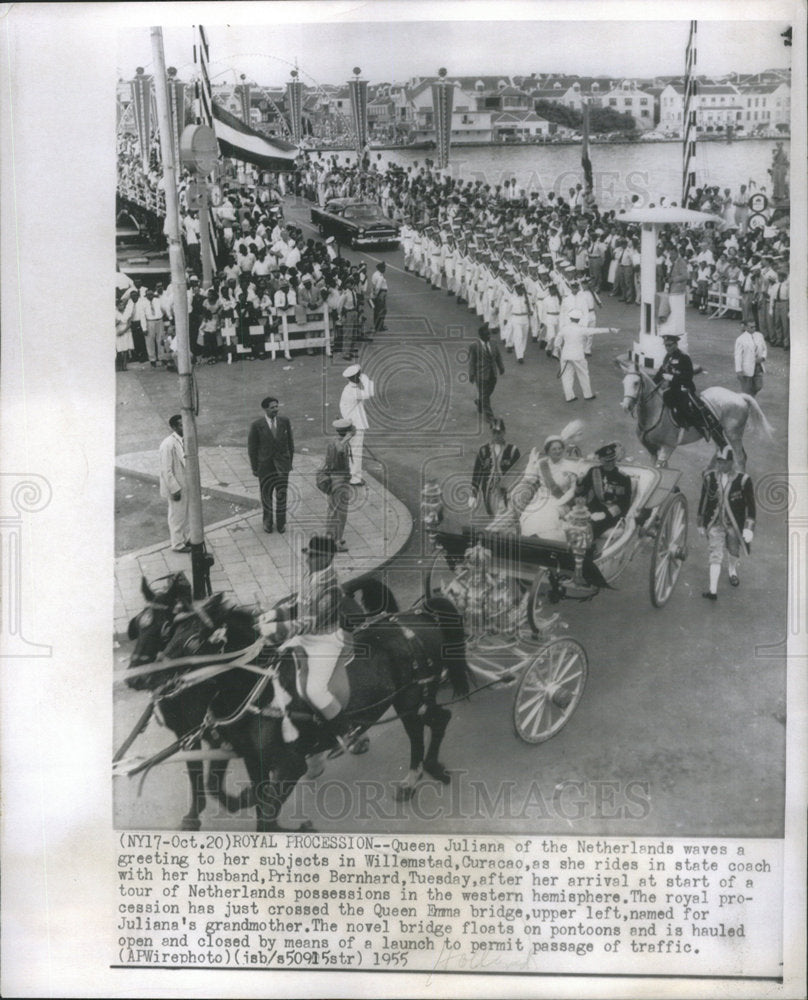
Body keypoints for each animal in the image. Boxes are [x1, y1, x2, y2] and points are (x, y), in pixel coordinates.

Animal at [124, 576, 468, 832]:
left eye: (191, 639)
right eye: (139, 627)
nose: (141, 678)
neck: (259, 691)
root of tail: (419, 616)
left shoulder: (288, 765)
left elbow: (264, 812)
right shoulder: (242, 754)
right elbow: (223, 788)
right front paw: (236, 802)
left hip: (411, 700)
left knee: (426, 728)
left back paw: (416, 773)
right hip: (410, 701)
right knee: (436, 721)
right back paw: (420, 767)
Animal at [620, 362, 776, 470]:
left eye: (636, 383)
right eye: (623, 382)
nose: (625, 407)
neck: (655, 414)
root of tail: (739, 396)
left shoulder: (667, 448)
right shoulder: (652, 450)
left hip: (734, 434)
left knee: (740, 457)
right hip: (716, 431)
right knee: (720, 448)